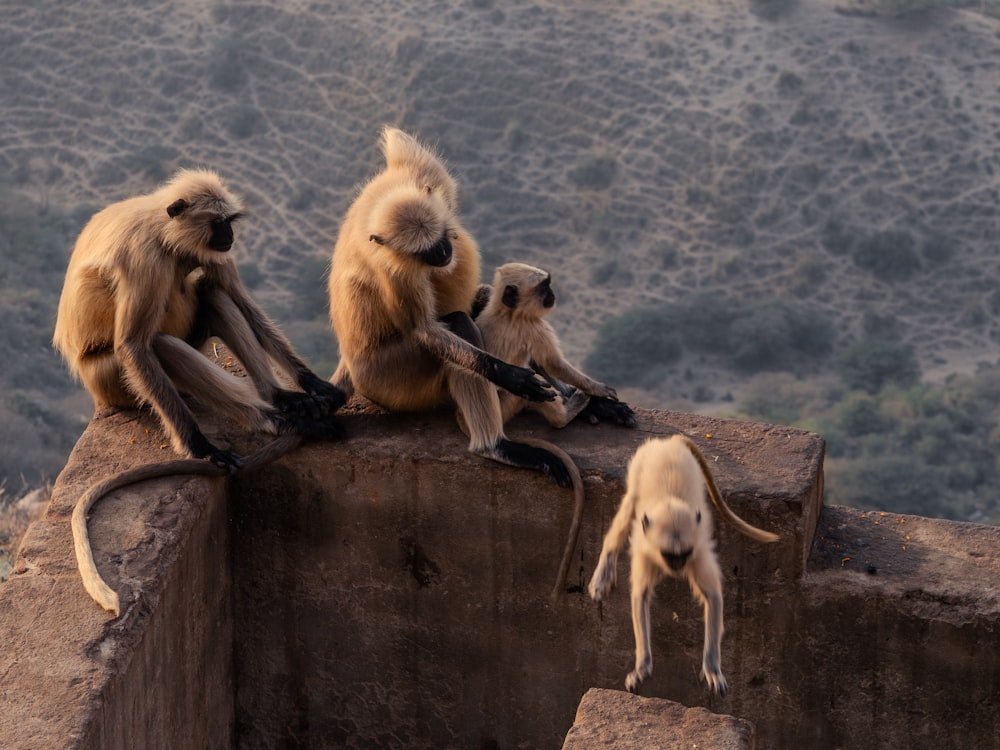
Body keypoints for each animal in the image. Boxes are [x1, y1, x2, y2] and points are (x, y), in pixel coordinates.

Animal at [54, 170, 346, 616]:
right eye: (218, 222)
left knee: (212, 292)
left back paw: (283, 399)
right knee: (159, 343)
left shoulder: (207, 252)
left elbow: (241, 300)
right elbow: (134, 345)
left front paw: (312, 384)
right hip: (110, 380)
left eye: (230, 222)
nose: (229, 235)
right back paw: (275, 421)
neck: (166, 235)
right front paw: (200, 448)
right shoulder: (143, 259)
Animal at [330, 129, 576, 488]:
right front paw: (512, 376)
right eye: (428, 252)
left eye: (440, 241)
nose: (446, 250)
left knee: (482, 299)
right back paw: (496, 447)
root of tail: (351, 364)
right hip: (391, 378)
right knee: (458, 323)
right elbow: (423, 330)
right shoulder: (396, 267)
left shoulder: (425, 176)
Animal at [472, 262, 636, 428]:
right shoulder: (534, 326)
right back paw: (565, 416)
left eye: (548, 285)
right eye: (544, 287)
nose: (552, 293)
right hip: (507, 403)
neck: (504, 312)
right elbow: (554, 364)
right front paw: (600, 389)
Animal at [584, 434, 780, 700]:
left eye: (682, 555)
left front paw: (712, 669)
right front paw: (642, 667)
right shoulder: (648, 550)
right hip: (638, 468)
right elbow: (640, 596)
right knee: (628, 507)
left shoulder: (696, 552)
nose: (677, 565)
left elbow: (713, 596)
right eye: (670, 555)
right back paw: (603, 574)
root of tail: (667, 442)